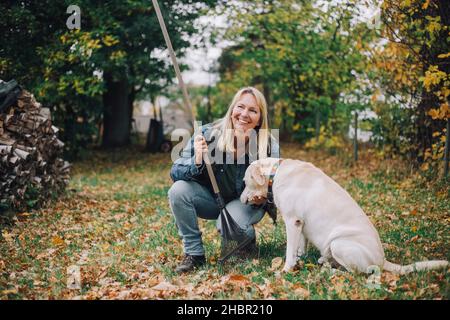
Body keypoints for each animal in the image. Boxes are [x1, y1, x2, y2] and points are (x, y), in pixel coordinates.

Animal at [243, 159, 450, 274]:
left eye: (245, 181)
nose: (242, 198)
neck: (275, 173)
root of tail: (382, 260)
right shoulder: (300, 224)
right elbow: (300, 247)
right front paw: (298, 260)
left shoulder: (292, 221)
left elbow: (289, 251)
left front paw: (286, 269)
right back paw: (325, 262)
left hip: (339, 244)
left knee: (356, 273)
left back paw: (332, 272)